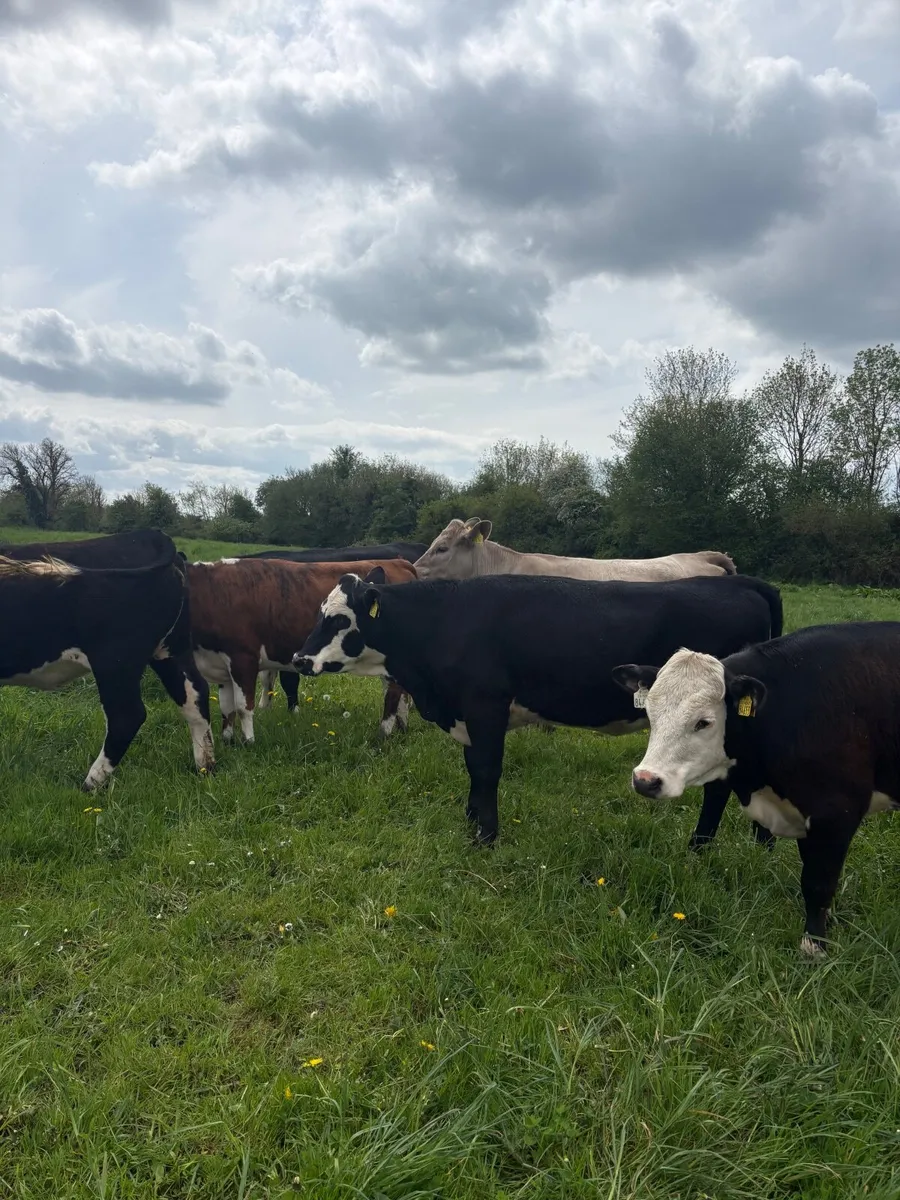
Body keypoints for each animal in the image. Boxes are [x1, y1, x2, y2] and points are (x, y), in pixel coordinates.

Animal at [0, 532, 214, 789]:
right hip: (171, 650)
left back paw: (91, 783)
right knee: (194, 696)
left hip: (115, 662)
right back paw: (205, 766)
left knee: (127, 715)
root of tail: (149, 535)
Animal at [185, 557, 418, 744]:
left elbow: (243, 706)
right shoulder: (220, 665)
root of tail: (398, 562)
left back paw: (385, 733)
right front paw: (227, 740)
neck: (212, 593)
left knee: (393, 693)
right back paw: (401, 727)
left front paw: (248, 742)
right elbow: (227, 708)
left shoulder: (243, 659)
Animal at [293, 572, 782, 846]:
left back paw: (701, 847)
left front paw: (485, 838)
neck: (444, 621)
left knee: (719, 788)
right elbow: (473, 768)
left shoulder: (485, 706)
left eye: (340, 619)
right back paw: (760, 844)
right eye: (317, 612)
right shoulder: (470, 716)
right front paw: (471, 821)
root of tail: (744, 582)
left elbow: (486, 770)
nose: (299, 659)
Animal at [612, 622, 900, 956]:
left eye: (704, 722)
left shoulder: (837, 812)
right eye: (651, 712)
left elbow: (817, 882)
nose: (646, 780)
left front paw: (814, 945)